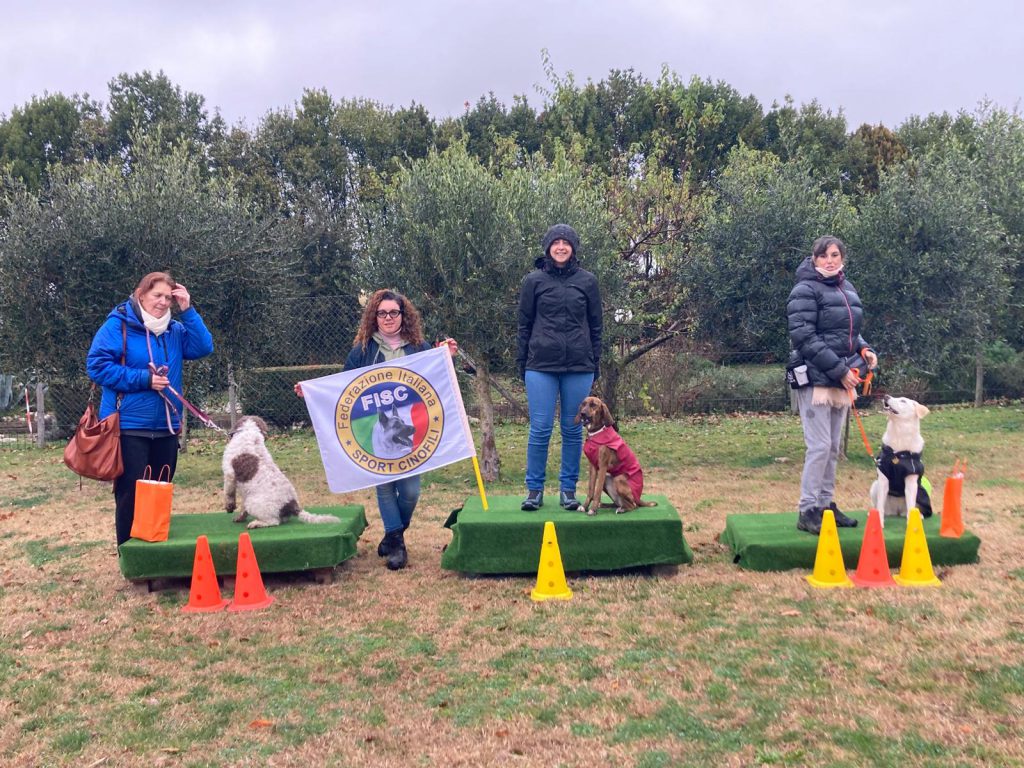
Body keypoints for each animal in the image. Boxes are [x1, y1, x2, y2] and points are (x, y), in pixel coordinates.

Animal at [869, 395, 933, 525]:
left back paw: (919, 515)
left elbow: (911, 506)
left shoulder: (911, 480)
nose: (886, 396)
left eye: (903, 401)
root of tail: (897, 511)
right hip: (875, 486)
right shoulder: (883, 478)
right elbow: (880, 506)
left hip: (920, 492)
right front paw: (879, 522)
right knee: (879, 506)